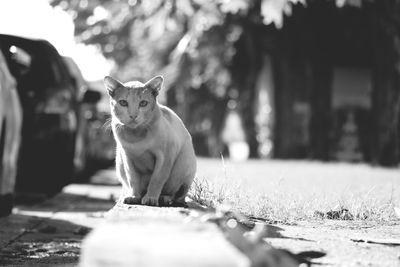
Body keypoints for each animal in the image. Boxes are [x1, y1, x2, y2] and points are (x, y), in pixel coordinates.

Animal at [104, 75, 196, 207]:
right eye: (123, 103)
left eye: (143, 103)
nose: (133, 115)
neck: (136, 137)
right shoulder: (127, 157)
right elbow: (133, 180)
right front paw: (134, 196)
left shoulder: (164, 157)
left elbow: (156, 180)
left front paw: (151, 198)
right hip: (119, 163)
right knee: (127, 185)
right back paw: (128, 196)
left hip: (184, 163)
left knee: (177, 194)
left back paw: (164, 198)